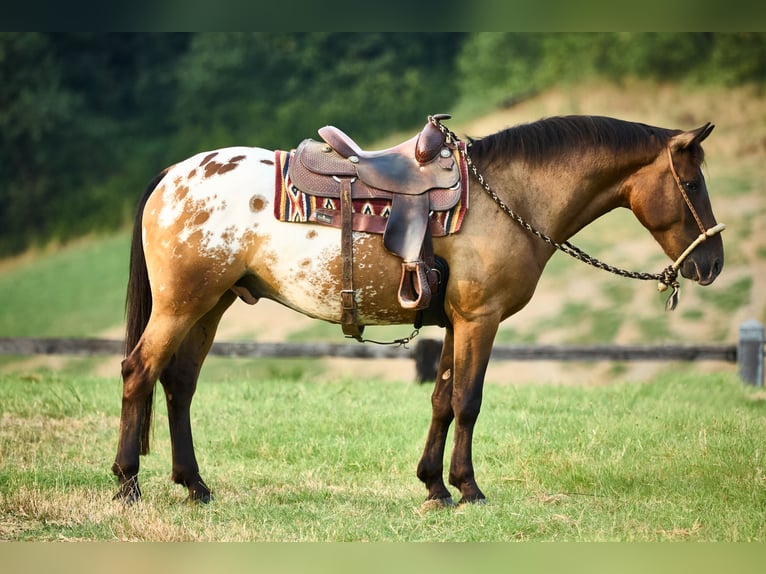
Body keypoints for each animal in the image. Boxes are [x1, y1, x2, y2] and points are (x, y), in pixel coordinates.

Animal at [112, 115, 728, 506]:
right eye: (692, 182)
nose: (713, 263)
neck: (511, 197)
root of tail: (172, 175)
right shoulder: (481, 319)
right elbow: (468, 402)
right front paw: (470, 489)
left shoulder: (456, 322)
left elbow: (441, 401)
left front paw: (435, 485)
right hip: (182, 305)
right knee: (139, 372)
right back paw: (126, 482)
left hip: (209, 306)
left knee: (179, 384)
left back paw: (194, 485)